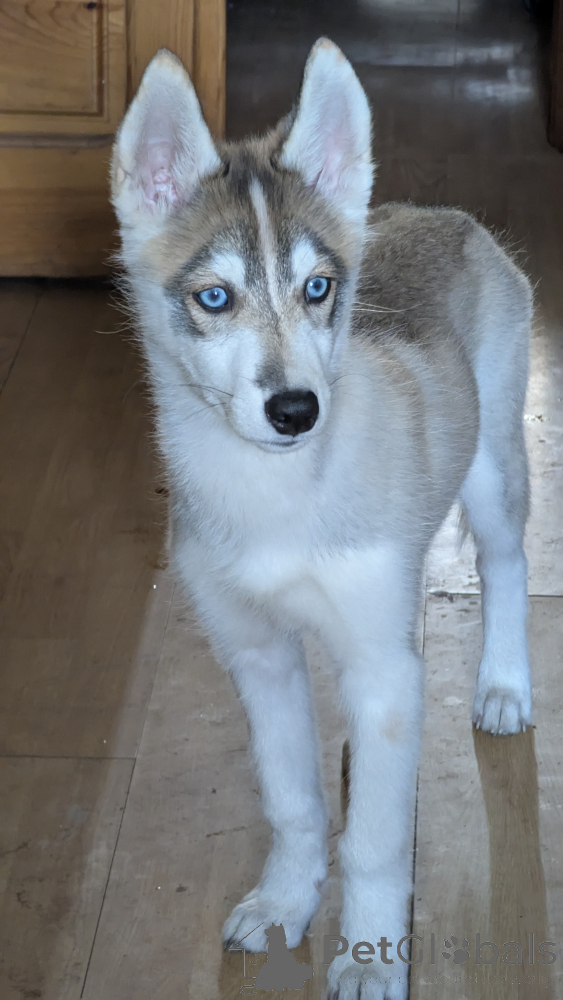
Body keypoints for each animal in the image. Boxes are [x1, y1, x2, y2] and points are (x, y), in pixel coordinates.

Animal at [111, 39, 532, 1000]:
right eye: (215, 298)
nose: (296, 410)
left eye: (317, 288)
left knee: (505, 564)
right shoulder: (257, 654)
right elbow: (295, 802)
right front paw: (284, 903)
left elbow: (373, 842)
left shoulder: (382, 673)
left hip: (493, 470)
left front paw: (369, 955)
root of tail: (449, 215)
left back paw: (502, 685)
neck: (276, 499)